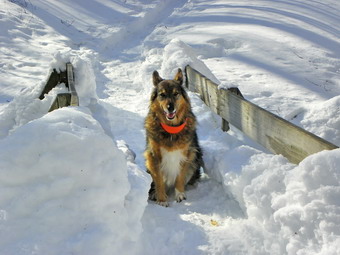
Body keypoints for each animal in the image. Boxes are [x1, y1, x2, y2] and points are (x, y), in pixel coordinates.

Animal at [143, 68, 202, 207]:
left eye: (176, 94)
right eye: (162, 95)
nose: (170, 107)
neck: (171, 129)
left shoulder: (187, 154)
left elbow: (180, 176)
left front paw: (180, 194)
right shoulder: (153, 156)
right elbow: (158, 180)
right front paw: (161, 199)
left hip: (196, 158)